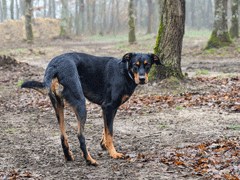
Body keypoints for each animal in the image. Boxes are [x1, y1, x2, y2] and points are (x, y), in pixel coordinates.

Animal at [21, 52, 164, 166]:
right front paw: (113, 153)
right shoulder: (109, 106)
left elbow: (106, 129)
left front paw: (103, 143)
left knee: (62, 136)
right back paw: (90, 160)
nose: (142, 79)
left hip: (58, 104)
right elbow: (110, 133)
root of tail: (55, 65)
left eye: (147, 65)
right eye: (135, 65)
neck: (124, 71)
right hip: (80, 104)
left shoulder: (108, 108)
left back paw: (68, 156)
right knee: (80, 136)